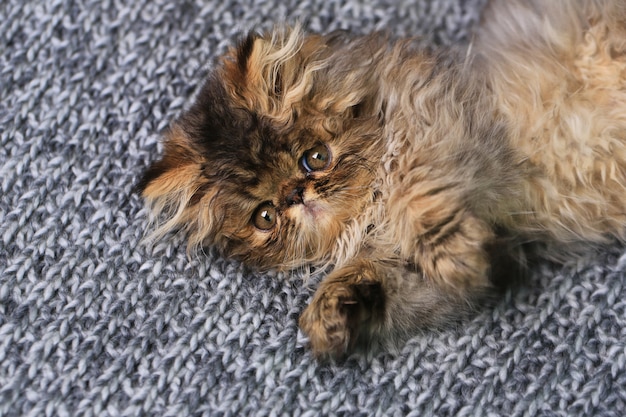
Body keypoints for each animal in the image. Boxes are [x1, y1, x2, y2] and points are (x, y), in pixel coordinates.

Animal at [139, 0, 624, 358]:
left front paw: (453, 255)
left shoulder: (445, 131)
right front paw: (330, 314)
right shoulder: (487, 246)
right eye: (265, 217)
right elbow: (380, 280)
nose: (297, 195)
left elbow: (414, 197)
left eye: (315, 158)